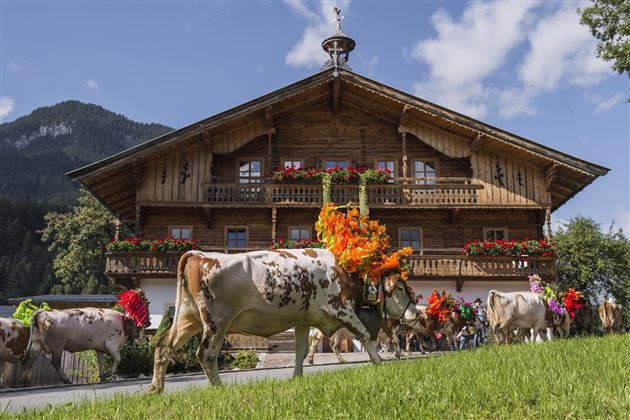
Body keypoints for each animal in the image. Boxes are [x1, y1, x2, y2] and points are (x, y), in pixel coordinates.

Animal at [149, 249, 420, 394]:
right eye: (401, 288)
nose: (416, 313)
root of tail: (200, 254)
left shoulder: (303, 319)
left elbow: (301, 350)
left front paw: (297, 377)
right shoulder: (342, 309)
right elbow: (364, 334)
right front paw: (379, 363)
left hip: (188, 318)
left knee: (162, 345)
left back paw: (156, 388)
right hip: (217, 321)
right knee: (205, 354)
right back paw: (219, 389)